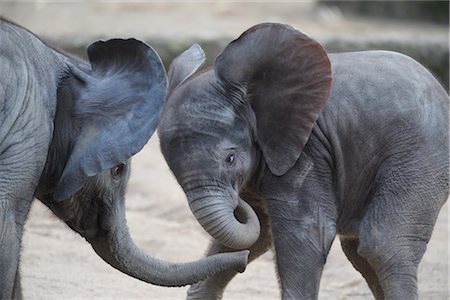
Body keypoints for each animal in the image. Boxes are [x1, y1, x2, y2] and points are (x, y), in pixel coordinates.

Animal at [157, 22, 446, 298]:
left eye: (230, 158)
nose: (242, 264)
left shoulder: (308, 151)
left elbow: (307, 233)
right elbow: (257, 233)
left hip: (419, 156)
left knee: (383, 245)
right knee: (360, 253)